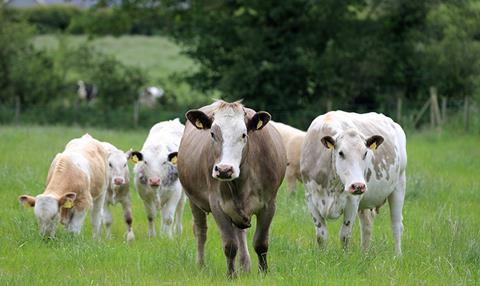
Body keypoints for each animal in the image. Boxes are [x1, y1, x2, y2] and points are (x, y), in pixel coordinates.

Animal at [178, 100, 286, 278]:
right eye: (212, 134)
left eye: (243, 134)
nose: (224, 170)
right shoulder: (217, 205)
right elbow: (230, 245)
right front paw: (231, 275)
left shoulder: (269, 204)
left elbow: (261, 243)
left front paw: (263, 272)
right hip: (193, 200)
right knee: (201, 232)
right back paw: (201, 265)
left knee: (240, 233)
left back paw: (245, 265)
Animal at [302, 111, 406, 255]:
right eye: (341, 153)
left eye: (365, 153)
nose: (358, 185)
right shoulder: (310, 198)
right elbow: (321, 235)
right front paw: (323, 255)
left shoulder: (353, 201)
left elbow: (344, 235)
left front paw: (344, 257)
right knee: (367, 225)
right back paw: (365, 254)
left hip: (399, 185)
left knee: (396, 225)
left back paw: (397, 255)